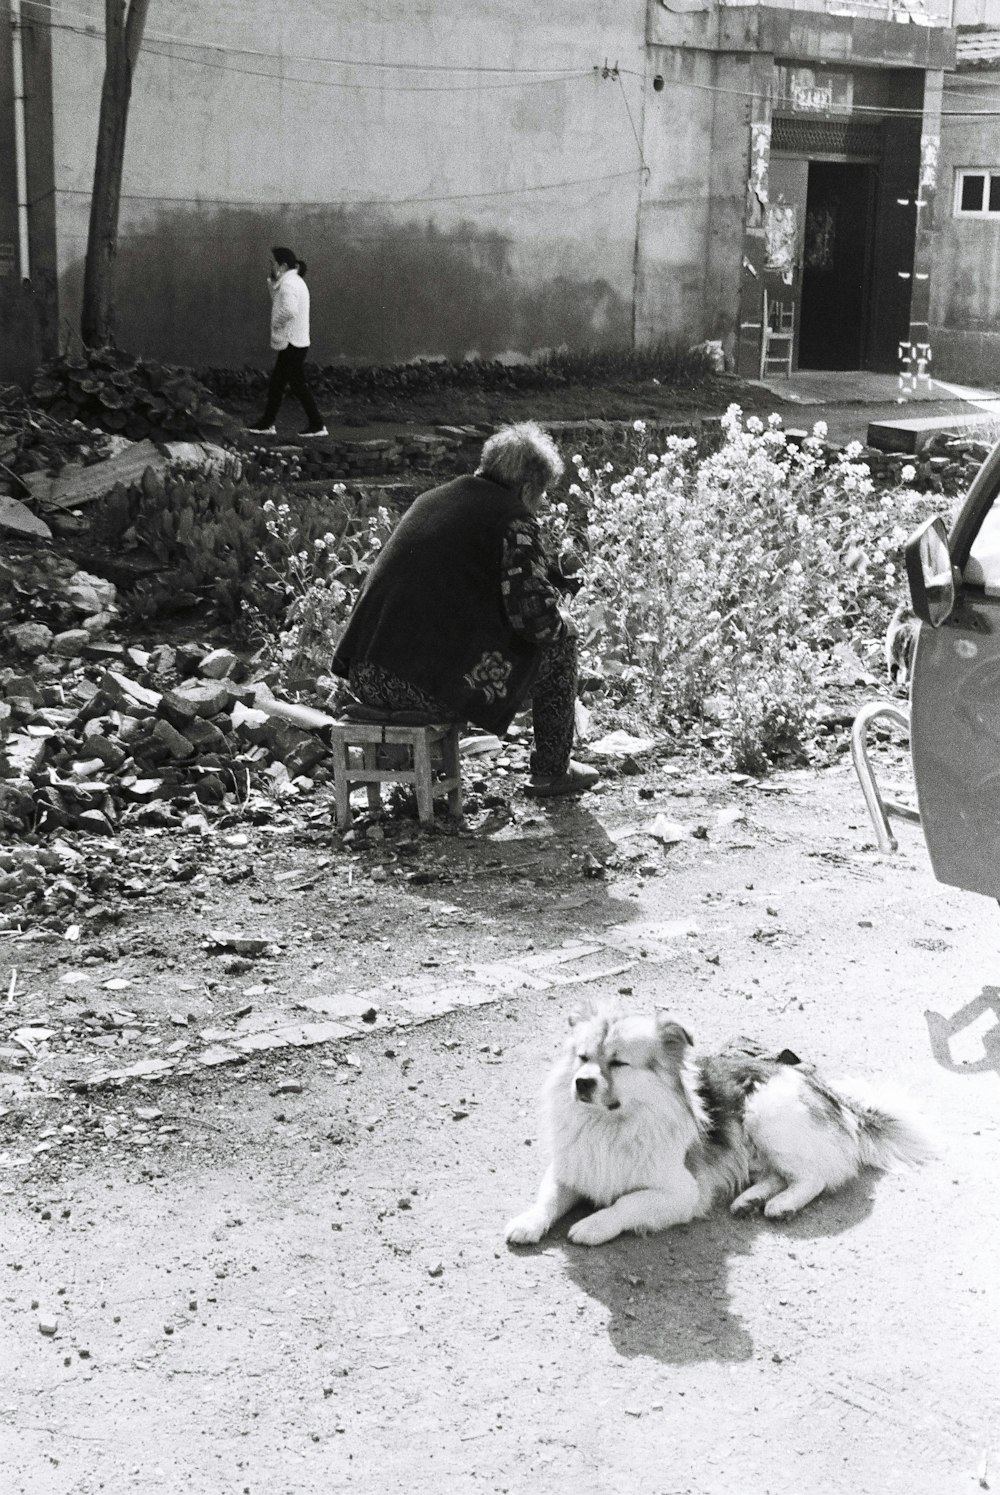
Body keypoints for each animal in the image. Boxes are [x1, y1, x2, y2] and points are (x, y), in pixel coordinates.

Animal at [508, 1004, 938, 1249]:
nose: (581, 1083)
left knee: (813, 1177)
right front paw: (528, 1222)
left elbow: (627, 1202)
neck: (611, 1124)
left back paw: (781, 1205)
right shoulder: (572, 1168)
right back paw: (750, 1200)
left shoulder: (680, 1192)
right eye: (582, 1057)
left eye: (617, 1063)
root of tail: (832, 1094)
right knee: (776, 1175)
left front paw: (594, 1224)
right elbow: (548, 1197)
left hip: (767, 1113)